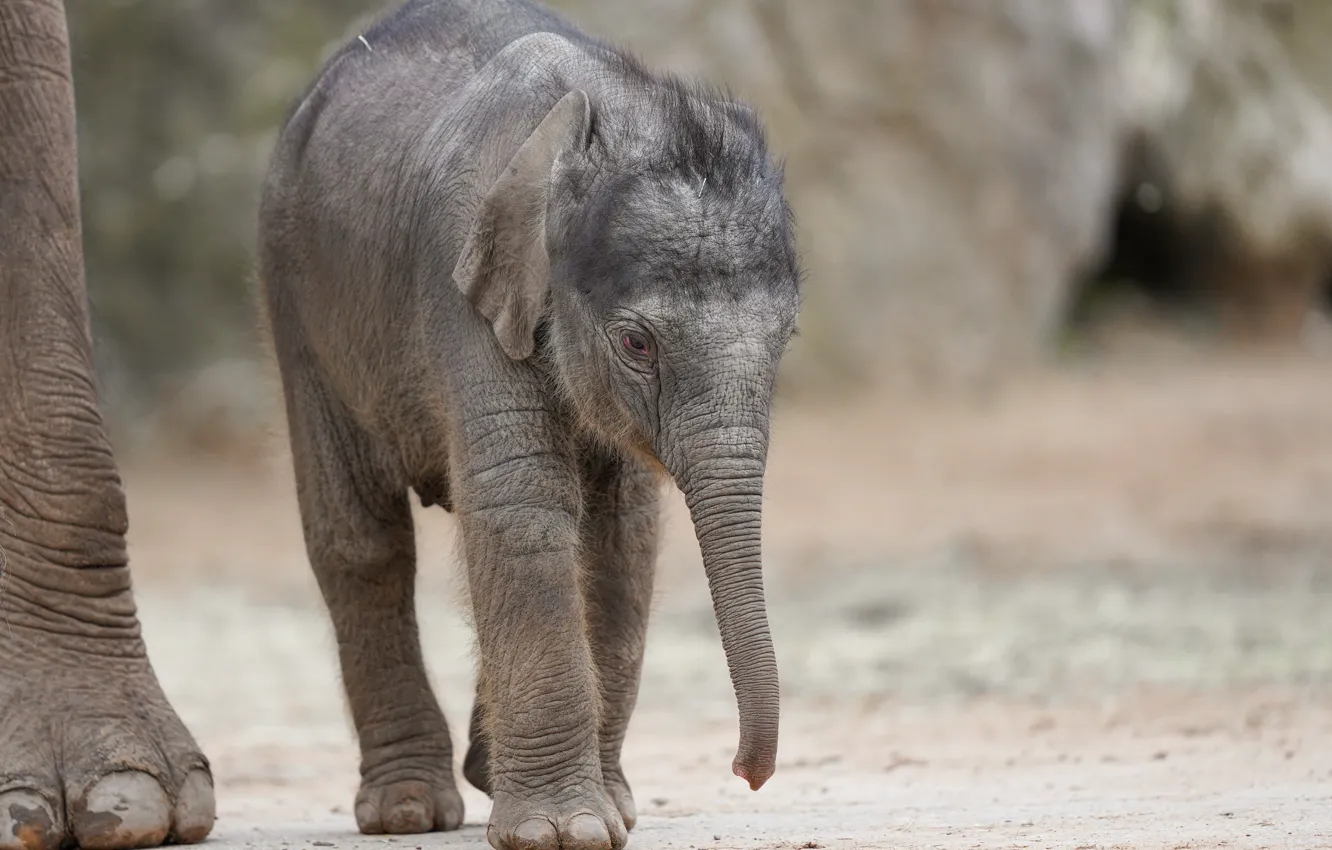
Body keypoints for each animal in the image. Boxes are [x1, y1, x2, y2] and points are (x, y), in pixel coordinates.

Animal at [257, 1, 802, 849]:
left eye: (787, 337)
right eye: (637, 343)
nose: (747, 773)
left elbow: (623, 529)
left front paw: (611, 811)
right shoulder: (458, 277)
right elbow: (523, 500)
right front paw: (563, 830)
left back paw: (484, 775)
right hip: (295, 292)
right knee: (361, 539)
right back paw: (407, 812)